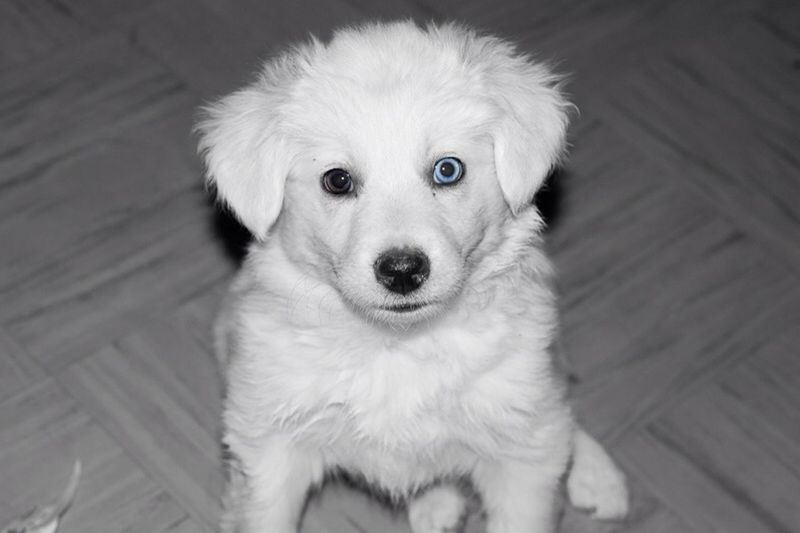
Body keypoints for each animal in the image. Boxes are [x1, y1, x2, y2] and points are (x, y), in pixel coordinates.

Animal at [197, 20, 628, 532]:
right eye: (337, 180)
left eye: (447, 170)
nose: (402, 271)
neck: (398, 346)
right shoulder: (268, 445)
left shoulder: (521, 461)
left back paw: (598, 476)